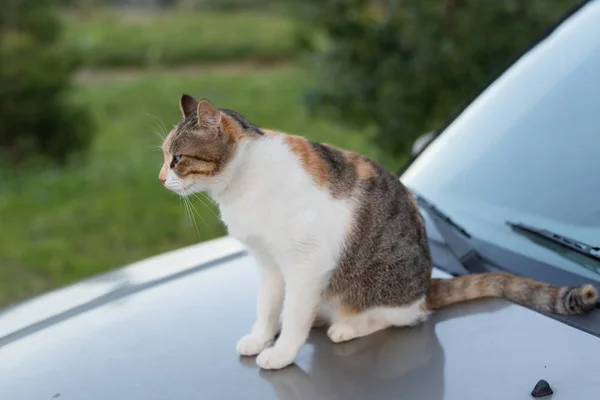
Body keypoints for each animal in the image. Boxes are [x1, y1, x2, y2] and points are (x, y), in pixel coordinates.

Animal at [157, 95, 596, 370]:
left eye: (177, 159)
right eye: (163, 156)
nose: (160, 179)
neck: (240, 183)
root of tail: (427, 284)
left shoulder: (306, 264)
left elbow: (295, 314)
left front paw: (281, 353)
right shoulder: (268, 263)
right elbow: (266, 308)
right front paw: (261, 337)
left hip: (375, 288)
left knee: (403, 316)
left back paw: (347, 326)